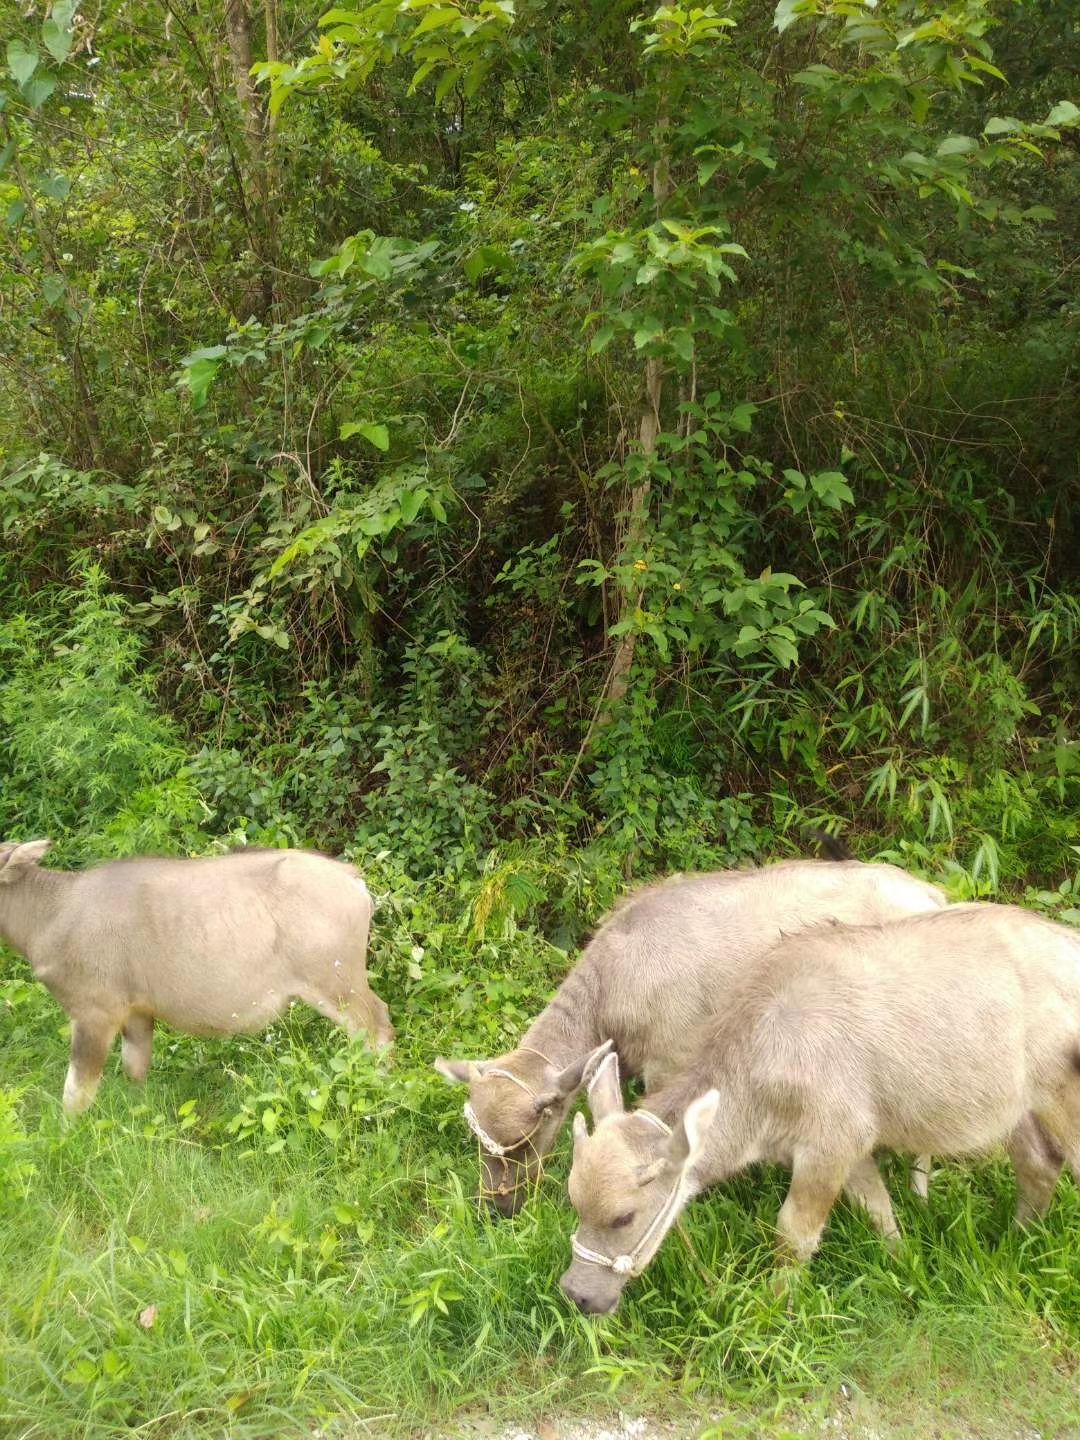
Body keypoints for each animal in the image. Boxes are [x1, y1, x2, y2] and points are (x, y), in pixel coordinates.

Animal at [0, 835, 394, 1111]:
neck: (54, 911)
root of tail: (352, 879)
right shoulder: (138, 1013)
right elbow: (135, 1070)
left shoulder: (94, 1014)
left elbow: (75, 1093)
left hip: (338, 985)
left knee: (377, 1026)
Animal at [434, 852, 944, 1215]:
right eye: (478, 1140)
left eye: (524, 1141)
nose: (499, 1208)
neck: (612, 985)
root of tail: (931, 894)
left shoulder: (670, 1062)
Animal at [561, 910, 1080, 1319]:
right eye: (575, 1203)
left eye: (623, 1218)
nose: (577, 1294)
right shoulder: (851, 1149)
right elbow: (879, 1210)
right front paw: (903, 1265)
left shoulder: (828, 1147)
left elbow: (794, 1234)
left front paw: (777, 1304)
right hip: (1021, 1109)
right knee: (1038, 1163)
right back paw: (1017, 1241)